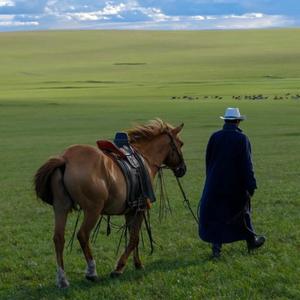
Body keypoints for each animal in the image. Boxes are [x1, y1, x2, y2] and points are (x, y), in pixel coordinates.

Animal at [34, 119, 185, 288]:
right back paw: (91, 271)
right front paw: (119, 268)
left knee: (58, 238)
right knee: (82, 235)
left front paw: (137, 264)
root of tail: (65, 158)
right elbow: (134, 239)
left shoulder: (131, 211)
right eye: (181, 143)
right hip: (93, 209)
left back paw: (62, 279)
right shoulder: (140, 209)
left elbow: (134, 238)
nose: (183, 169)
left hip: (61, 207)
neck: (145, 158)